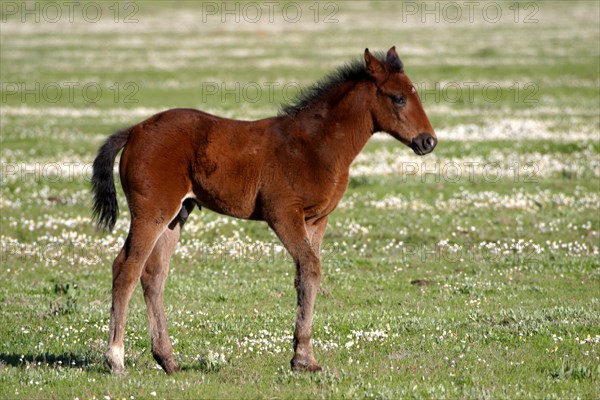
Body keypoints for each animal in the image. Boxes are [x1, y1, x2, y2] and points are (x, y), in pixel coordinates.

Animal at [90, 47, 436, 376]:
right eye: (399, 97)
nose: (428, 141)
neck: (314, 144)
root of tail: (135, 130)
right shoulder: (282, 214)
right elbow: (309, 268)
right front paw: (302, 359)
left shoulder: (317, 220)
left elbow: (307, 275)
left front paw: (305, 357)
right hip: (152, 212)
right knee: (126, 268)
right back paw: (116, 359)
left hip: (176, 216)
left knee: (153, 275)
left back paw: (168, 360)